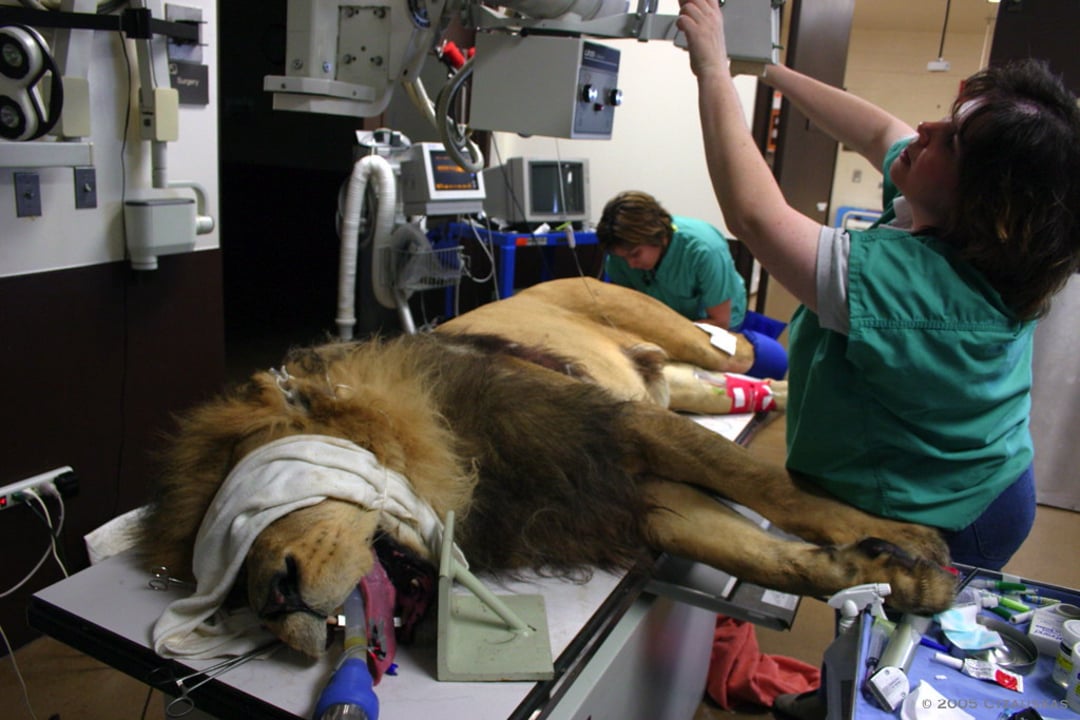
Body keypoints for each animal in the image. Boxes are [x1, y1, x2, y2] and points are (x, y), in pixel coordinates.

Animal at [137, 277, 956, 660]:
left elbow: (769, 488)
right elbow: (769, 557)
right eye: (229, 594)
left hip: (671, 335)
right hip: (676, 385)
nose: (275, 601)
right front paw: (895, 577)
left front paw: (913, 542)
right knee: (733, 385)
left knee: (748, 348)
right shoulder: (638, 499)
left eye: (266, 488)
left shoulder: (617, 429)